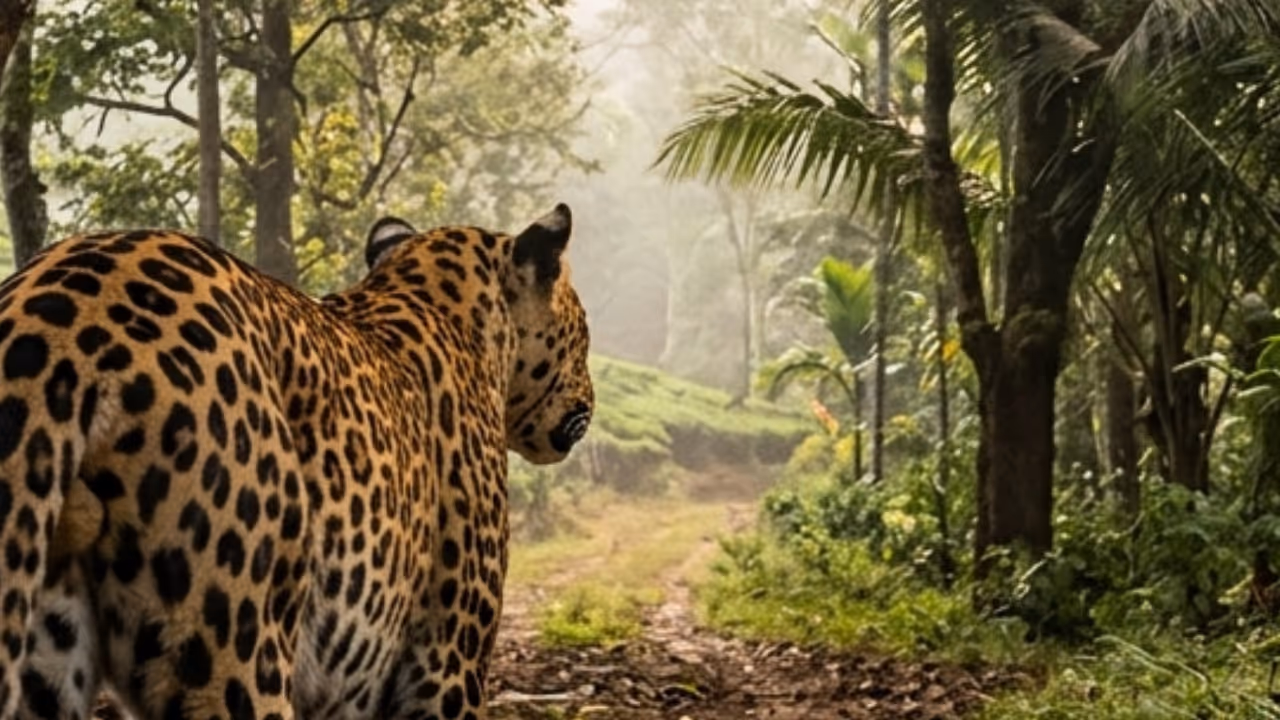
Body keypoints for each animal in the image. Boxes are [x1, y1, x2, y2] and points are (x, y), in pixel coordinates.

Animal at [0, 203, 593, 720]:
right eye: (584, 334)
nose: (589, 396)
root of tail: (59, 318)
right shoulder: (445, 664)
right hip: (234, 649)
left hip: (43, 646)